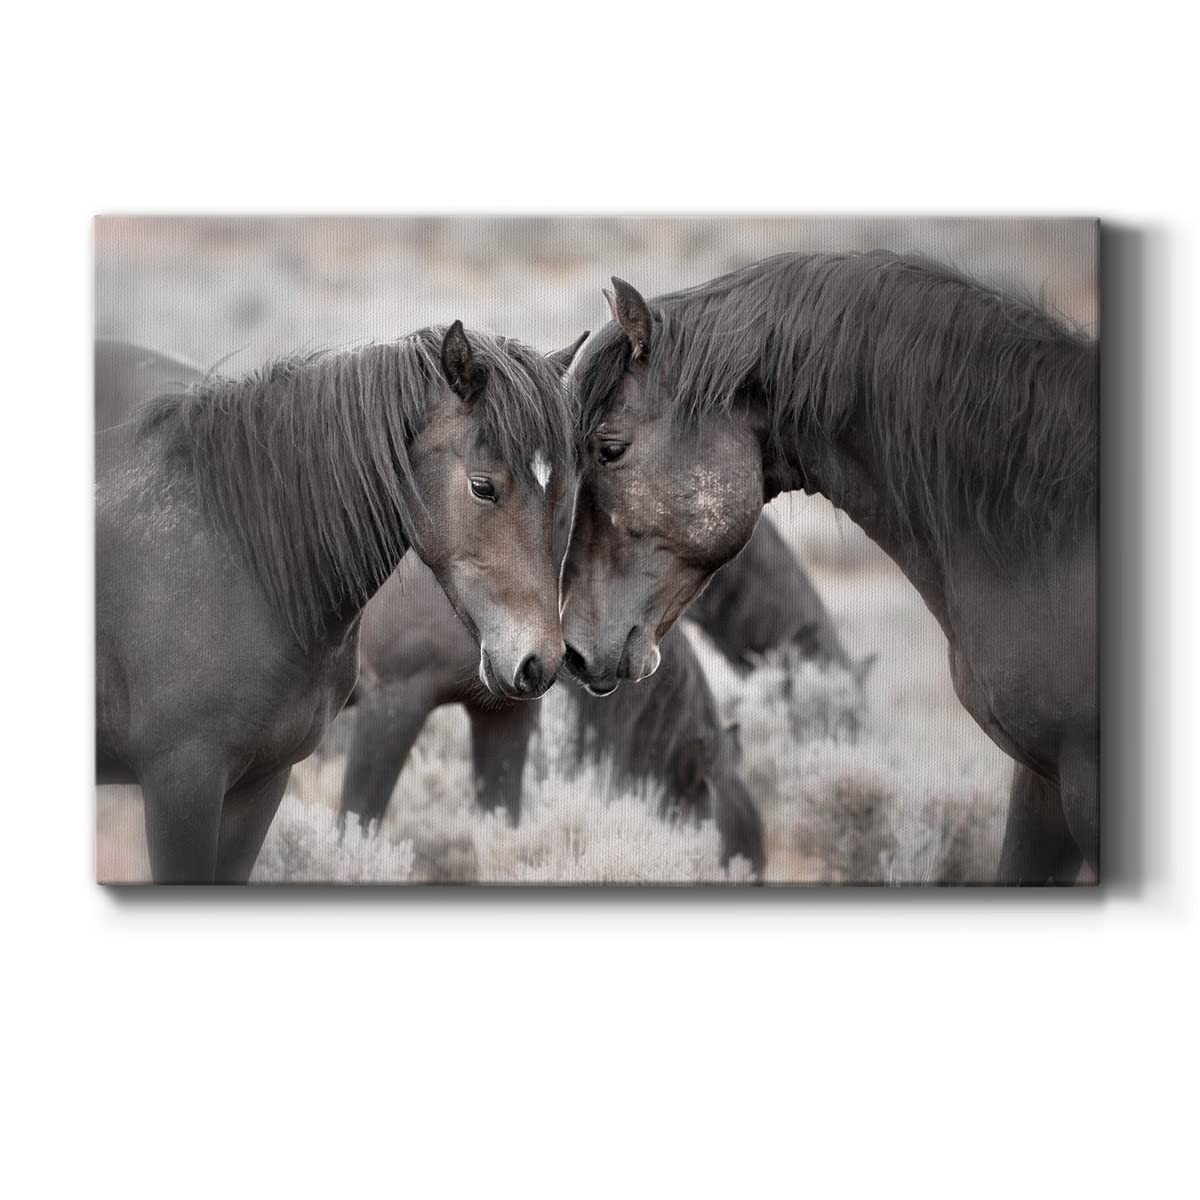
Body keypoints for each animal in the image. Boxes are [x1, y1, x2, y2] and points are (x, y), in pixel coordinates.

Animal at [96, 325, 586, 882]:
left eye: (563, 494)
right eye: (482, 487)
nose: (539, 661)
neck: (241, 566)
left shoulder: (261, 781)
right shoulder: (183, 783)